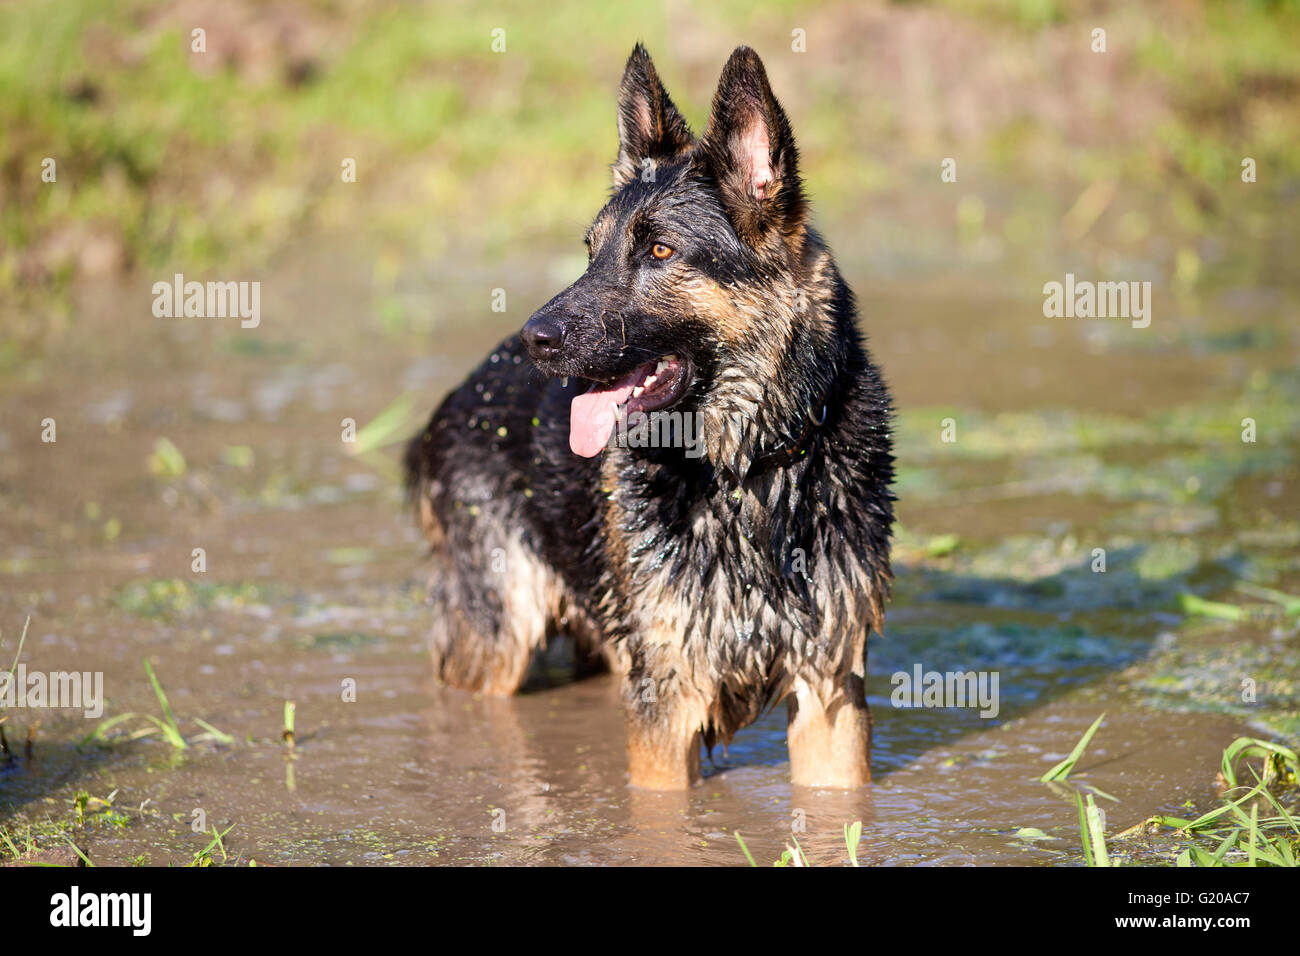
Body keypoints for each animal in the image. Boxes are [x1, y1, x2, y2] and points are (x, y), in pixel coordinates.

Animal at [405, 44, 894, 790]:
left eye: (660, 251)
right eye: (591, 250)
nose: (535, 340)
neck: (744, 469)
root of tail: (460, 392)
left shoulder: (829, 689)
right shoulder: (667, 696)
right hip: (498, 639)